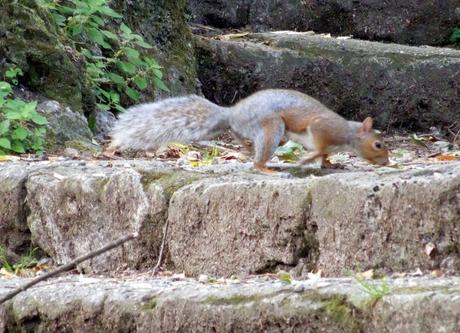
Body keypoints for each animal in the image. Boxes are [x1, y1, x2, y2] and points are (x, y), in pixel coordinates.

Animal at [109, 89, 390, 171]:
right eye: (378, 144)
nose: (387, 162)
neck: (349, 135)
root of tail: (232, 113)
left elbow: (326, 155)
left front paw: (330, 164)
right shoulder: (323, 129)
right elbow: (319, 148)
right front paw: (308, 159)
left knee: (239, 136)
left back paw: (246, 149)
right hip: (273, 127)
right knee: (258, 161)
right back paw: (266, 168)